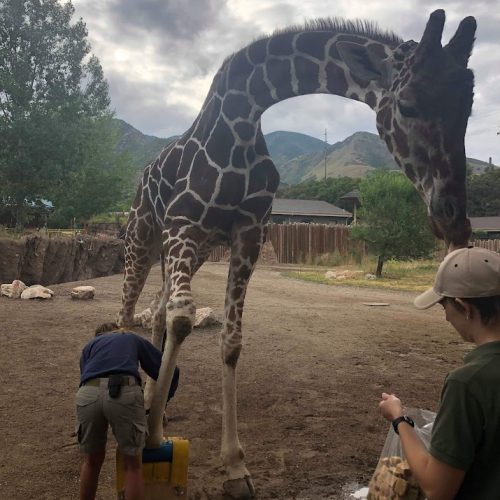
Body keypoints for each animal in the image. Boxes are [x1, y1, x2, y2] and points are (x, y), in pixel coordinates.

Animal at [115, 9, 474, 498]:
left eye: (468, 107)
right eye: (409, 105)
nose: (454, 217)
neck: (243, 117)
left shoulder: (248, 232)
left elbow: (230, 341)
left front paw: (235, 467)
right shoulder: (183, 223)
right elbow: (184, 318)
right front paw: (153, 440)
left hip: (195, 247)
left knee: (154, 308)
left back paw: (156, 403)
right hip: (146, 235)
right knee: (129, 309)